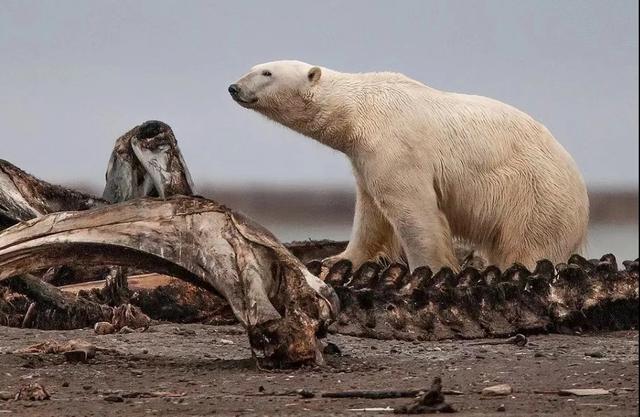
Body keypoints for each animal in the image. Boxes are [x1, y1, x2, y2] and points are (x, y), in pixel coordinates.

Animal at [230, 61, 592, 270]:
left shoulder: (396, 148)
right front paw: (337, 259)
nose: (234, 87)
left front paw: (427, 271)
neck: (359, 110)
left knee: (528, 246)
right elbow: (370, 214)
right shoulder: (364, 158)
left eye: (266, 73)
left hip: (535, 197)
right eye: (254, 66)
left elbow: (413, 211)